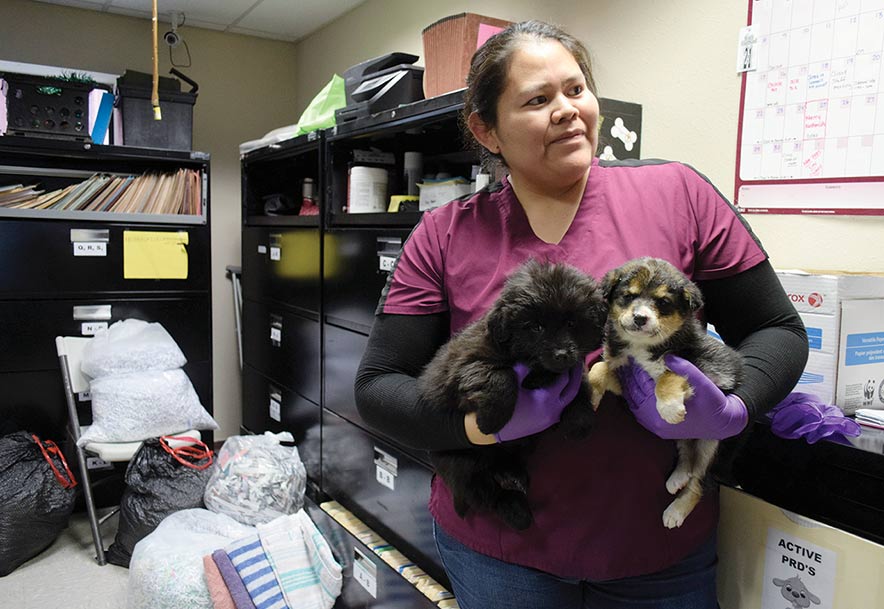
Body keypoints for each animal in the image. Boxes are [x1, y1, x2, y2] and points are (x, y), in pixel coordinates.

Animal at [416, 258, 608, 528]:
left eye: (571, 323)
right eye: (536, 327)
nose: (561, 354)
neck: (538, 369)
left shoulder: (571, 372)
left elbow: (580, 388)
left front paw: (579, 424)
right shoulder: (465, 364)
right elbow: (502, 377)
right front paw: (490, 422)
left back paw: (513, 476)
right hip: (461, 463)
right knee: (484, 492)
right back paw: (516, 512)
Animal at [588, 256, 744, 528]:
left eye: (663, 302)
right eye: (628, 296)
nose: (640, 318)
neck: (641, 347)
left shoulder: (708, 374)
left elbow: (668, 376)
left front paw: (669, 408)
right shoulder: (626, 377)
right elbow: (601, 367)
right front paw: (591, 393)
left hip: (713, 444)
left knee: (698, 482)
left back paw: (676, 511)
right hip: (685, 436)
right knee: (687, 453)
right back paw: (677, 477)